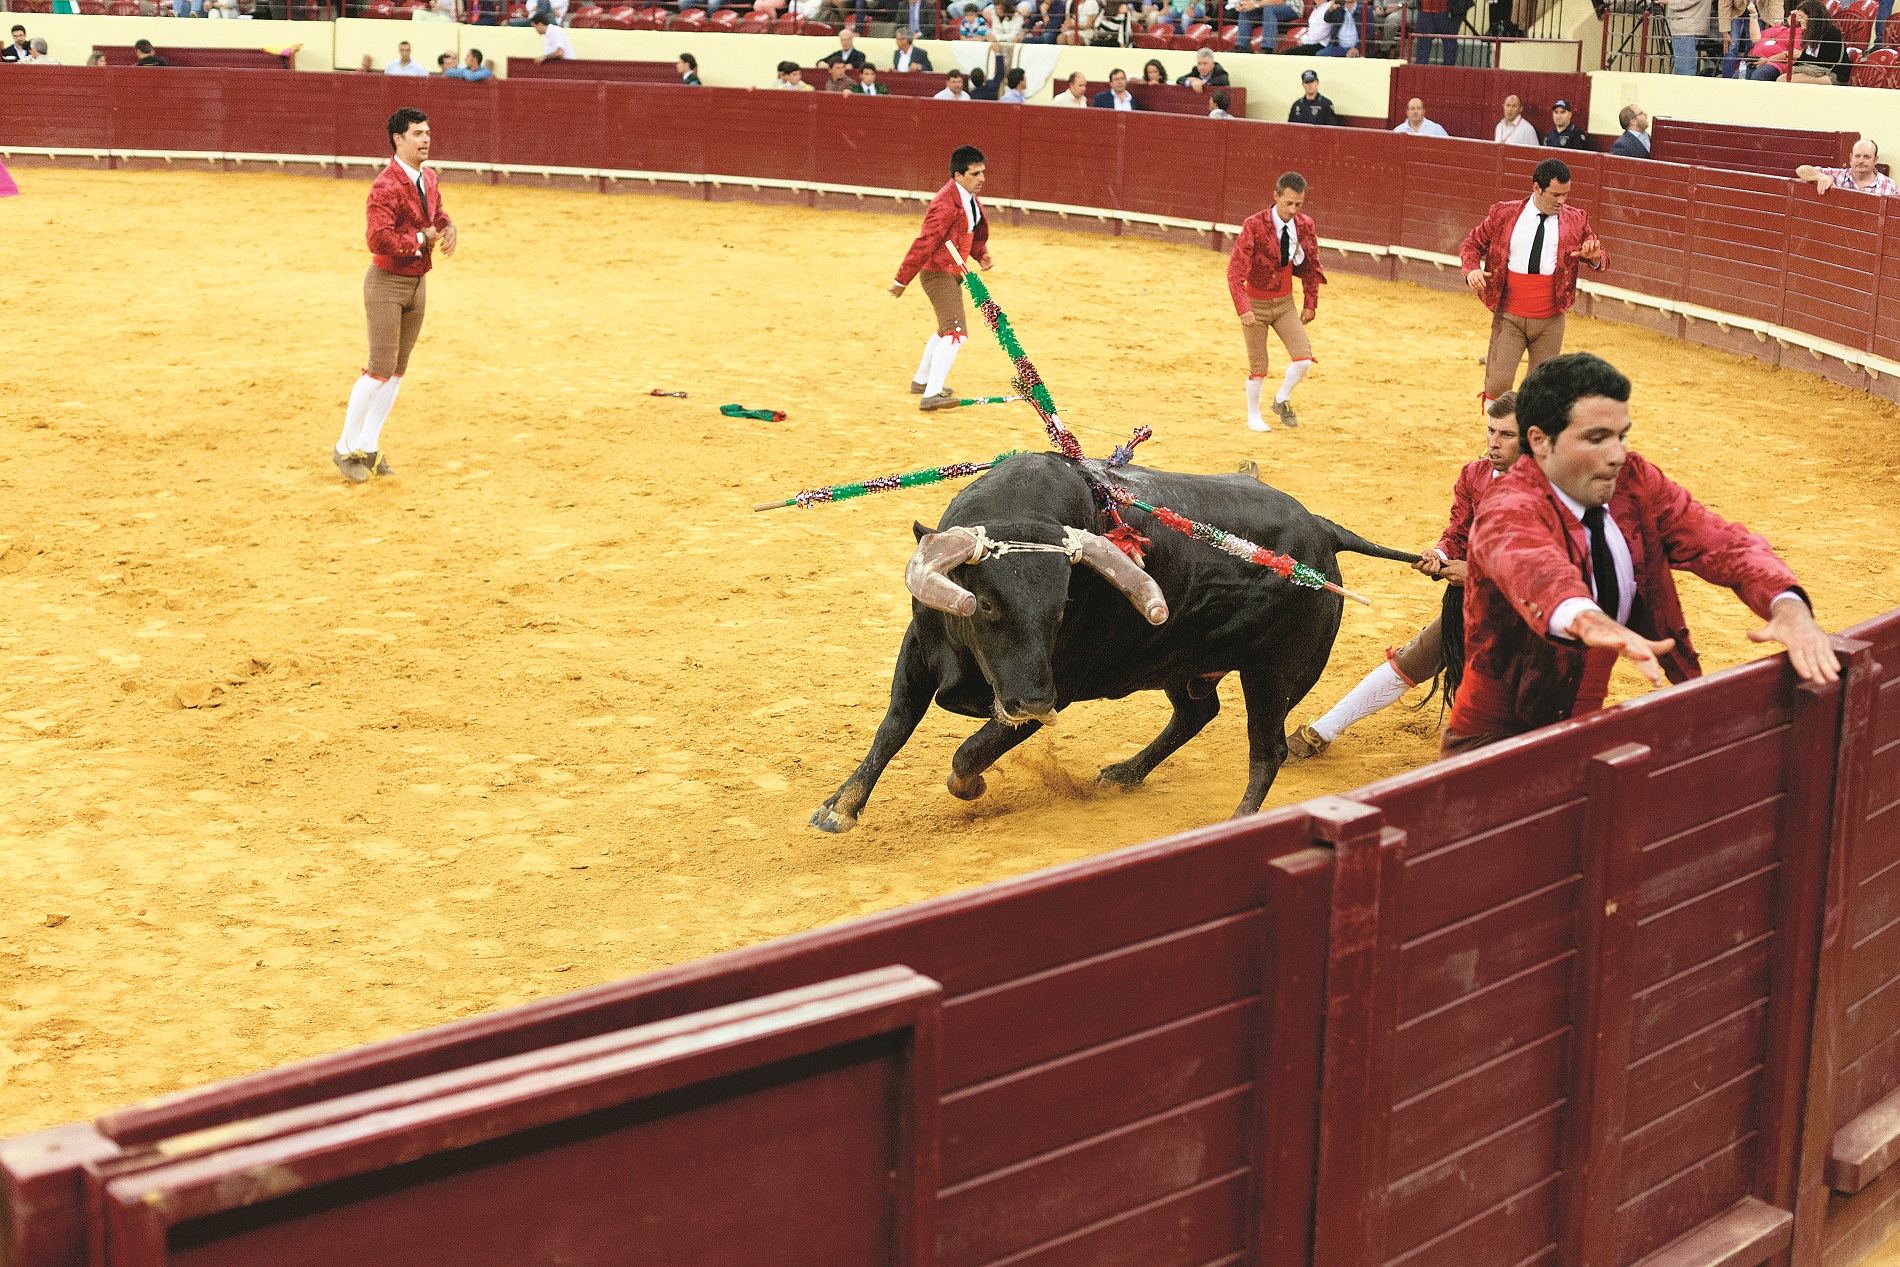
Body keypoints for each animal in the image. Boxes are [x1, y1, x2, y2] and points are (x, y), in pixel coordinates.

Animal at [809, 453, 1421, 832]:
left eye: (1061, 610)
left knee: (1265, 749)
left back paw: (1238, 822)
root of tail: (1321, 531)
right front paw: (840, 808)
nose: (1033, 701)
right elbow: (892, 728)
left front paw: (971, 787)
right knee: (1197, 714)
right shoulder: (918, 648)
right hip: (1183, 666)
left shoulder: (1060, 684)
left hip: (1273, 674)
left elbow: (970, 750)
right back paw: (1124, 773)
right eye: (984, 604)